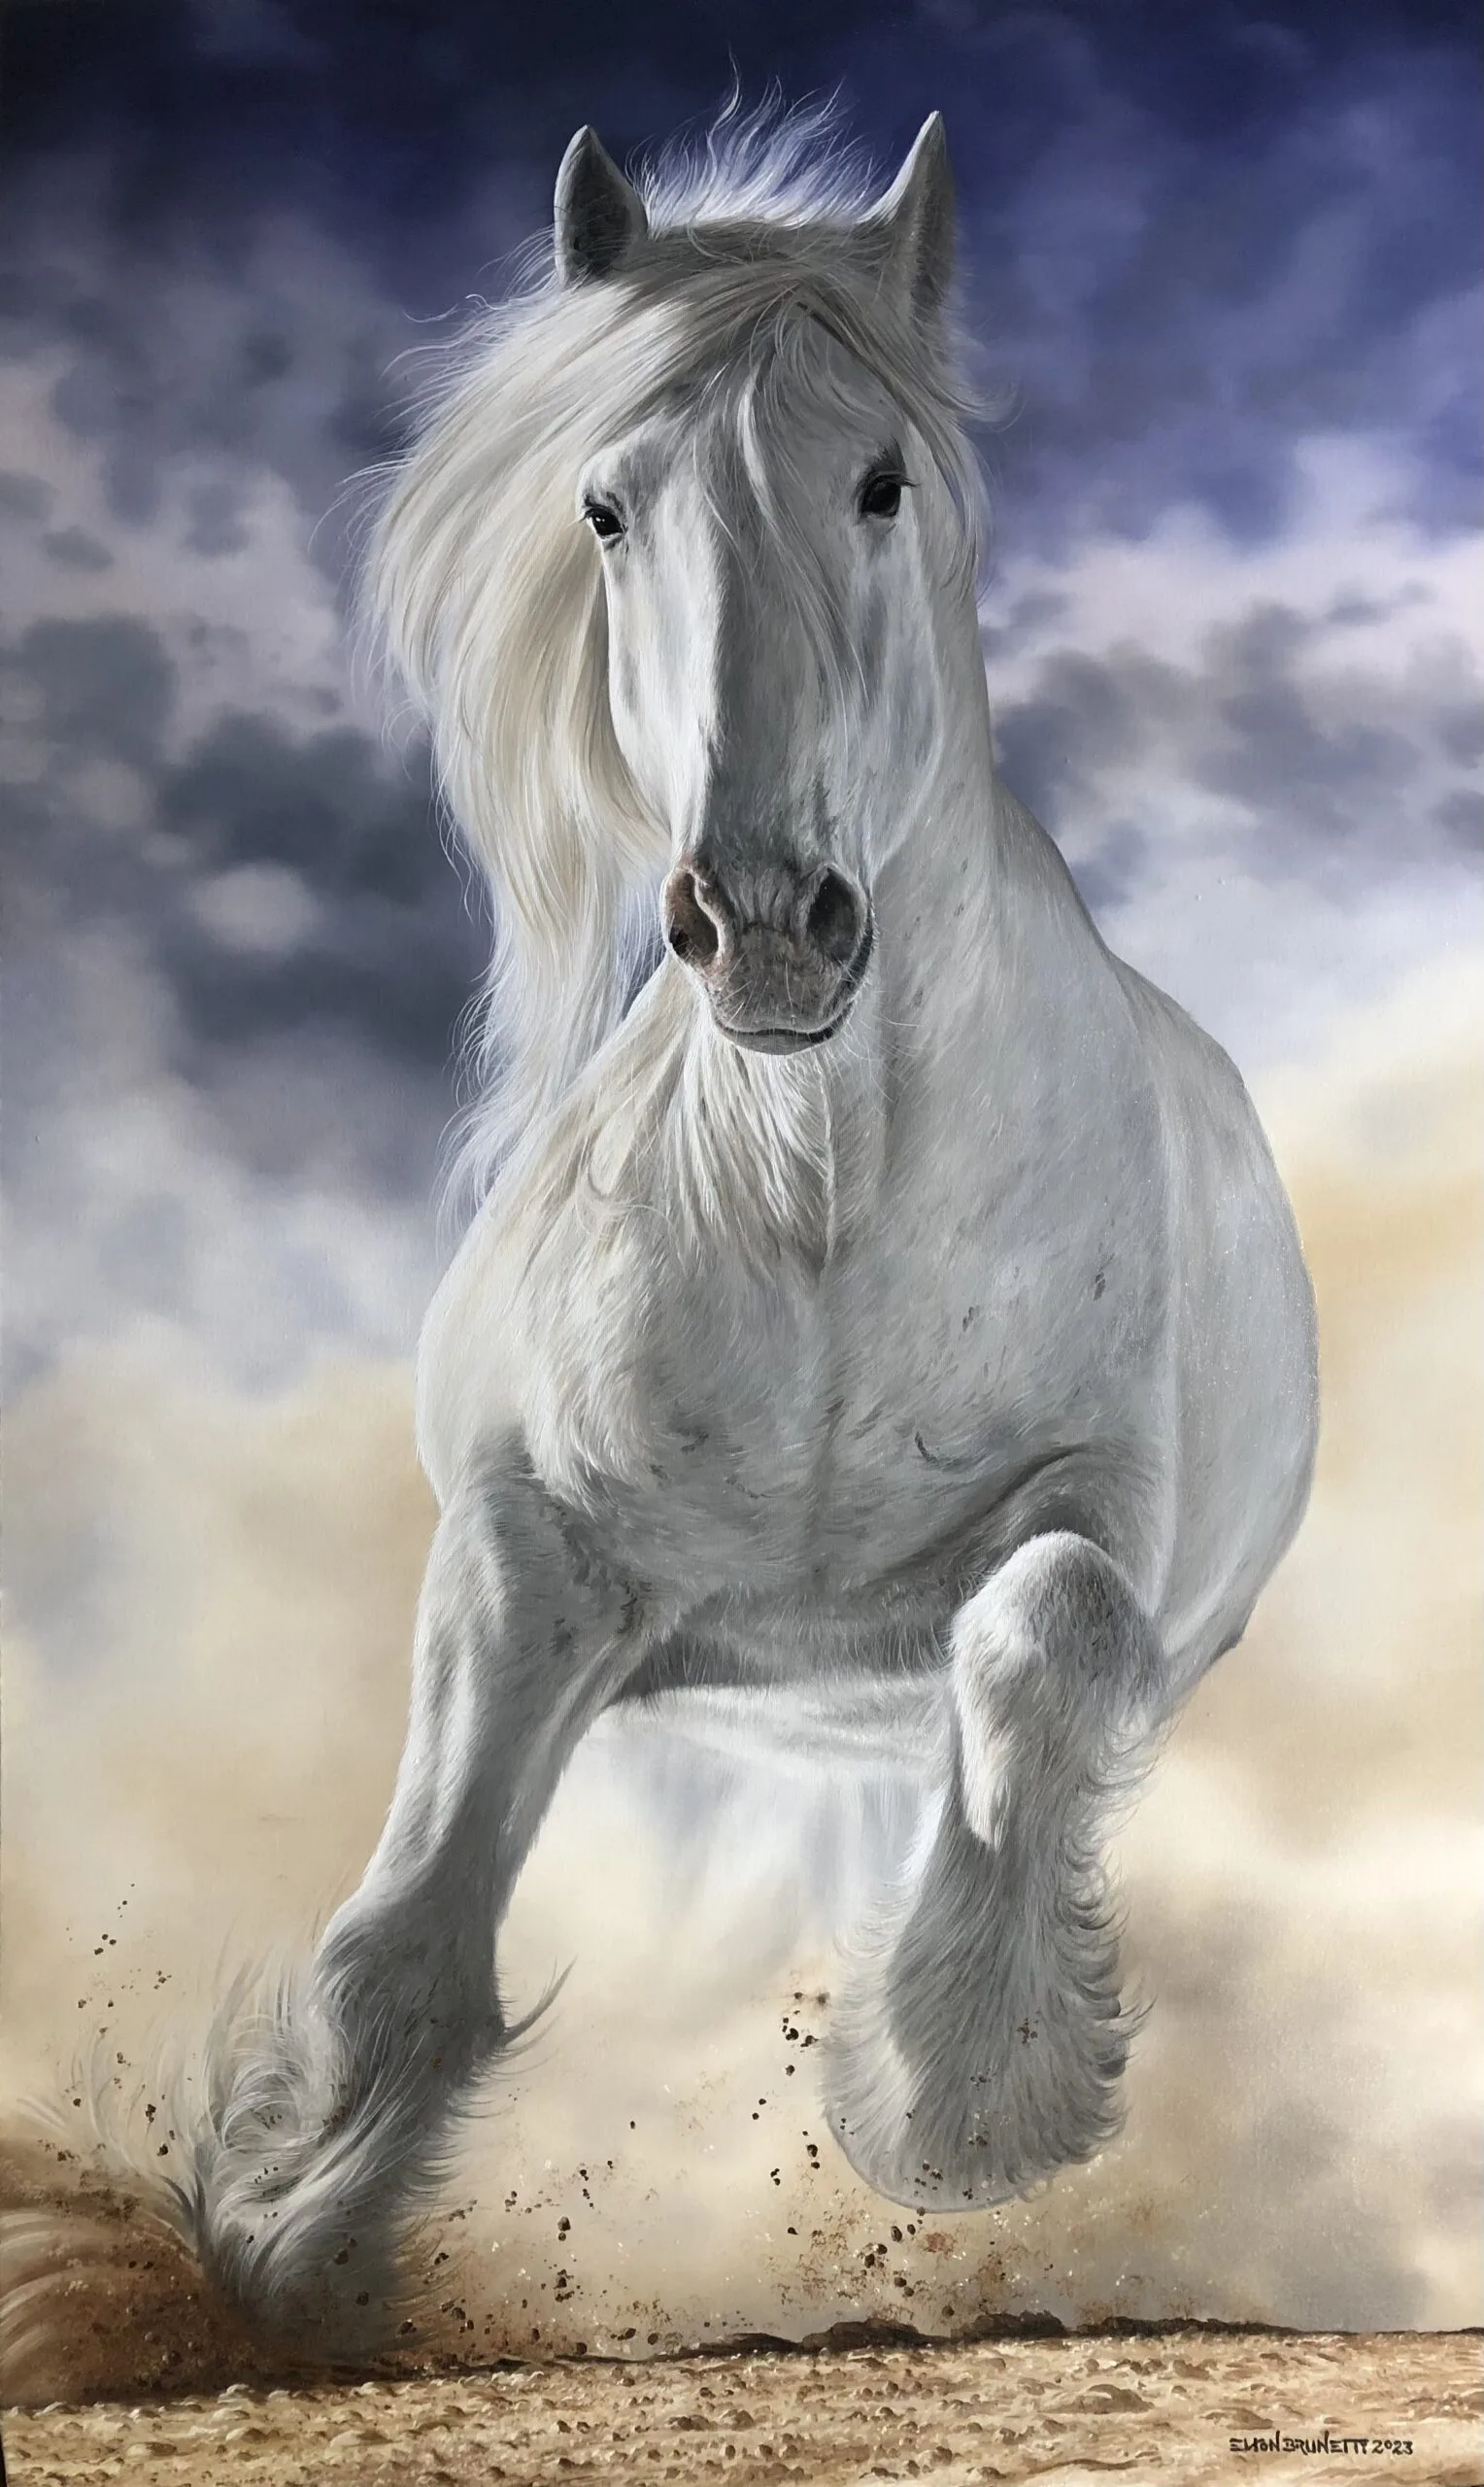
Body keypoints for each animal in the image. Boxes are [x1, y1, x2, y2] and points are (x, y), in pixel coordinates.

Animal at [182, 106, 1318, 2341]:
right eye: (606, 506)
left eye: (879, 482)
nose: (769, 922)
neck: (813, 1199)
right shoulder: (532, 1556)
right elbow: (411, 1927)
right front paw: (287, 2232)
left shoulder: (1102, 1523)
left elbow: (1040, 1641)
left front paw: (956, 2096)